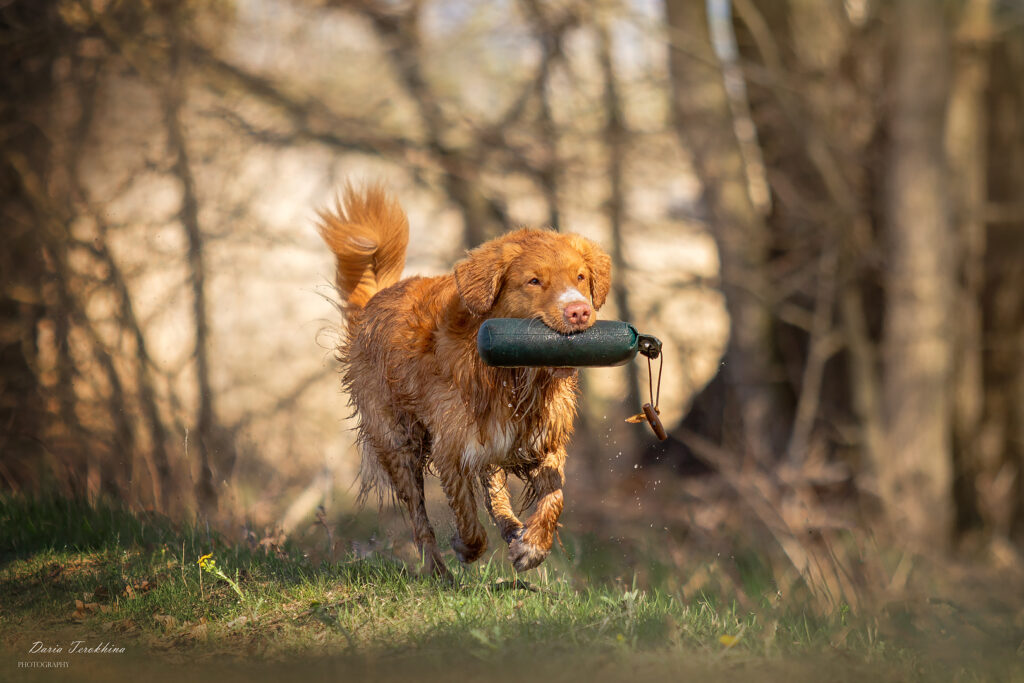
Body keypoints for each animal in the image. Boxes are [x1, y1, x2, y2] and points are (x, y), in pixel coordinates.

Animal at [317, 183, 606, 577]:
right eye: (534, 281)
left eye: (580, 277)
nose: (579, 311)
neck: (512, 380)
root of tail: (376, 299)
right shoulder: (452, 448)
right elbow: (468, 519)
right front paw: (466, 548)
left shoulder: (542, 441)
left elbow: (555, 496)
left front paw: (533, 545)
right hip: (397, 443)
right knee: (420, 521)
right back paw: (439, 571)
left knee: (495, 489)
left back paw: (512, 526)